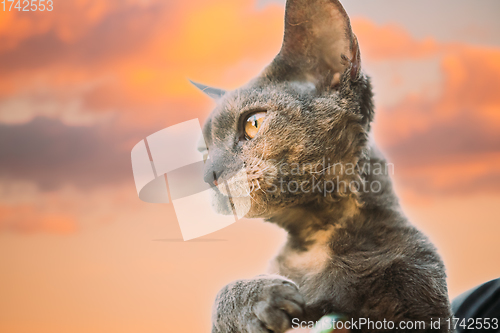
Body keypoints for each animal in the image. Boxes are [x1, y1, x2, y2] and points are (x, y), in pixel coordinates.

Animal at [193, 0, 452, 332]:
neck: (318, 239)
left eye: (253, 123)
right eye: (204, 151)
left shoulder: (417, 283)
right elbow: (223, 295)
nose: (208, 175)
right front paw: (255, 297)